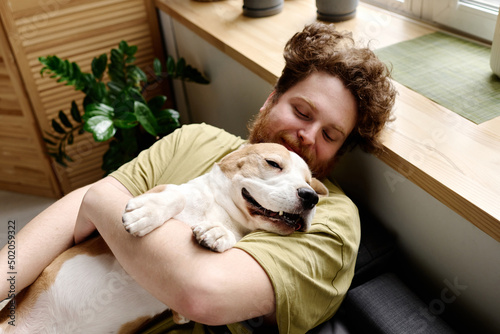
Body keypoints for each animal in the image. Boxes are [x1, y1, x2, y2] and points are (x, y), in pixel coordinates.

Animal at [0, 142, 328, 332]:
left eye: (309, 181)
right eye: (273, 163)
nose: (311, 196)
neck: (220, 208)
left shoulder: (180, 312)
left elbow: (230, 235)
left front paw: (218, 233)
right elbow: (175, 195)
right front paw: (148, 212)